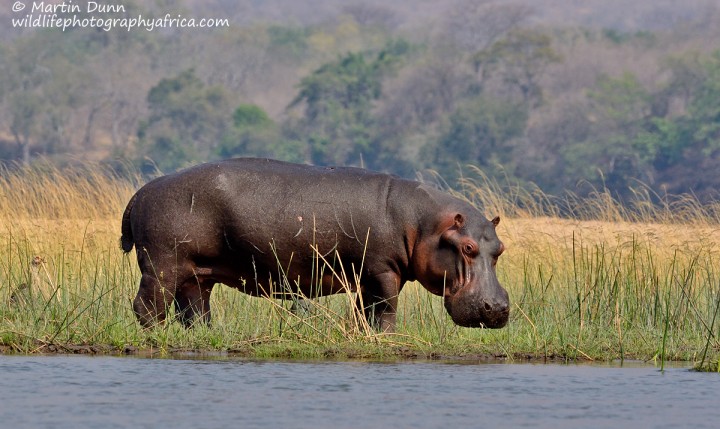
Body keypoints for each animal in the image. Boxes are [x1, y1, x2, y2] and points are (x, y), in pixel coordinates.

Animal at [121, 157, 510, 332]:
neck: (424, 223)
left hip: (197, 275)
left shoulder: (366, 278)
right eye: (467, 248)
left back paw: (206, 335)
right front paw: (387, 336)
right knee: (148, 306)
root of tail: (139, 194)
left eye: (500, 249)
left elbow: (364, 312)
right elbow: (384, 310)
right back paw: (156, 335)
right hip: (162, 266)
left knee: (194, 312)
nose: (498, 308)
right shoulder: (382, 271)